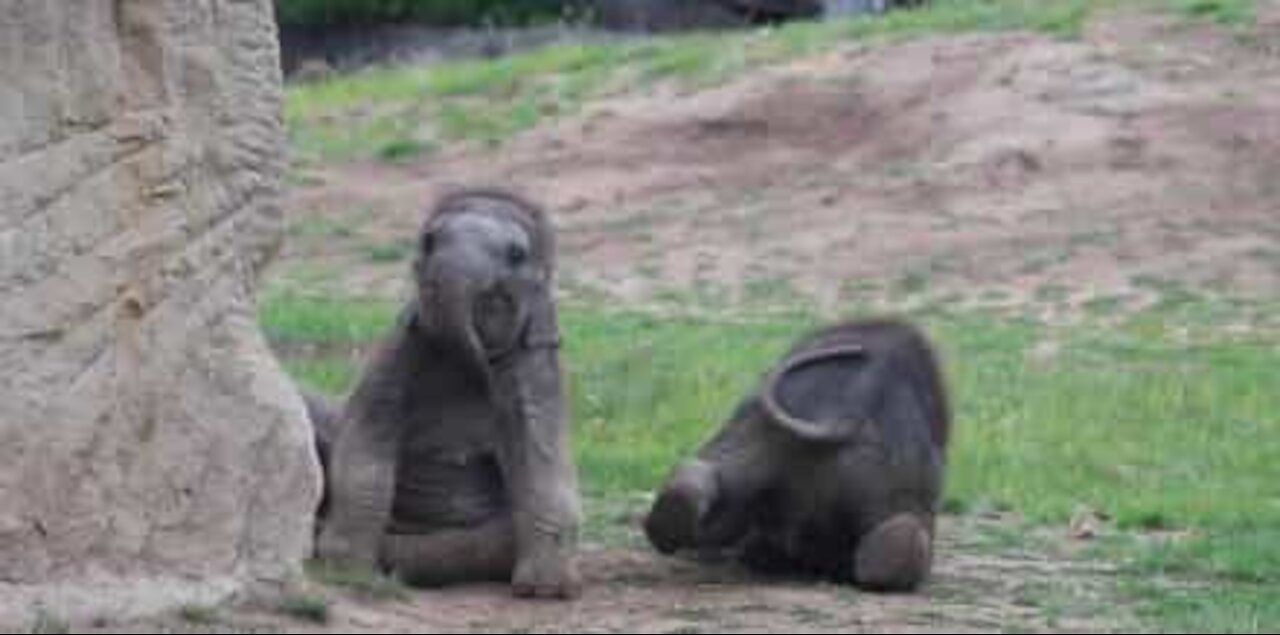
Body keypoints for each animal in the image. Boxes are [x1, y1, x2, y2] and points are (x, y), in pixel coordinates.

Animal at [312, 188, 583, 599]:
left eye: (516, 255)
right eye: (427, 241)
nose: (484, 369)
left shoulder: (537, 368)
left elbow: (541, 454)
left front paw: (545, 591)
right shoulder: (399, 348)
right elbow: (365, 439)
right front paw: (347, 571)